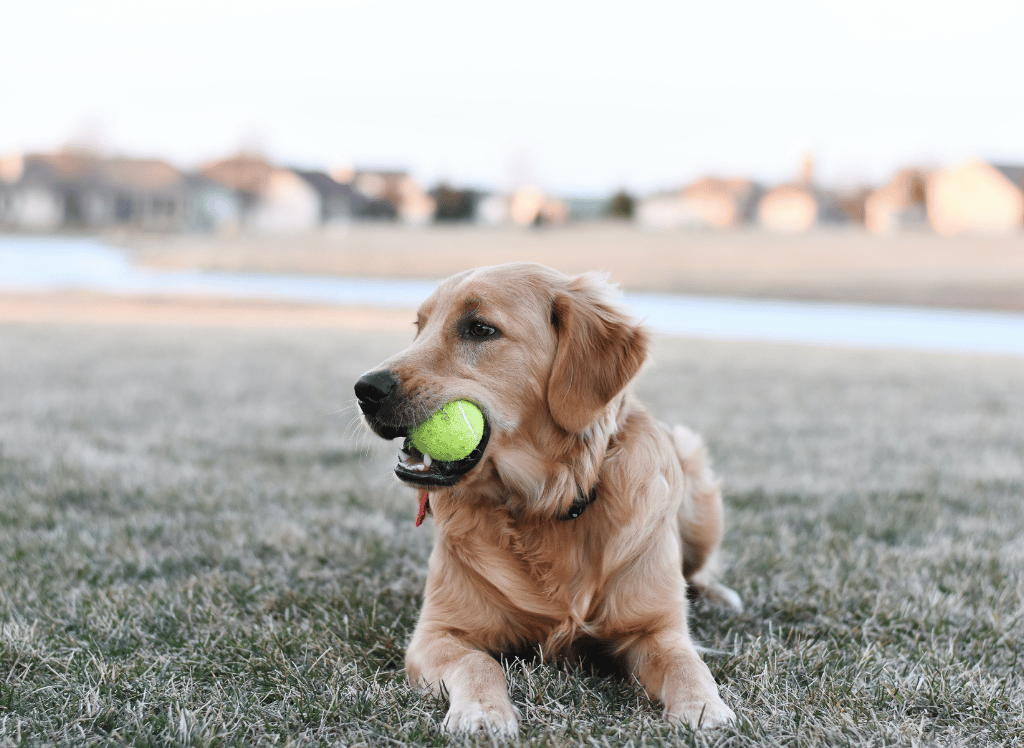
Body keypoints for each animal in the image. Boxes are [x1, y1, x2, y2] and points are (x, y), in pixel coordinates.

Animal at [356, 262, 741, 733]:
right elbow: (478, 663)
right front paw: (483, 711)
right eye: (420, 327)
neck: (545, 504)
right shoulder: (438, 632)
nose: (365, 389)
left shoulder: (657, 629)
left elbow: (686, 663)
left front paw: (705, 708)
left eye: (479, 329)